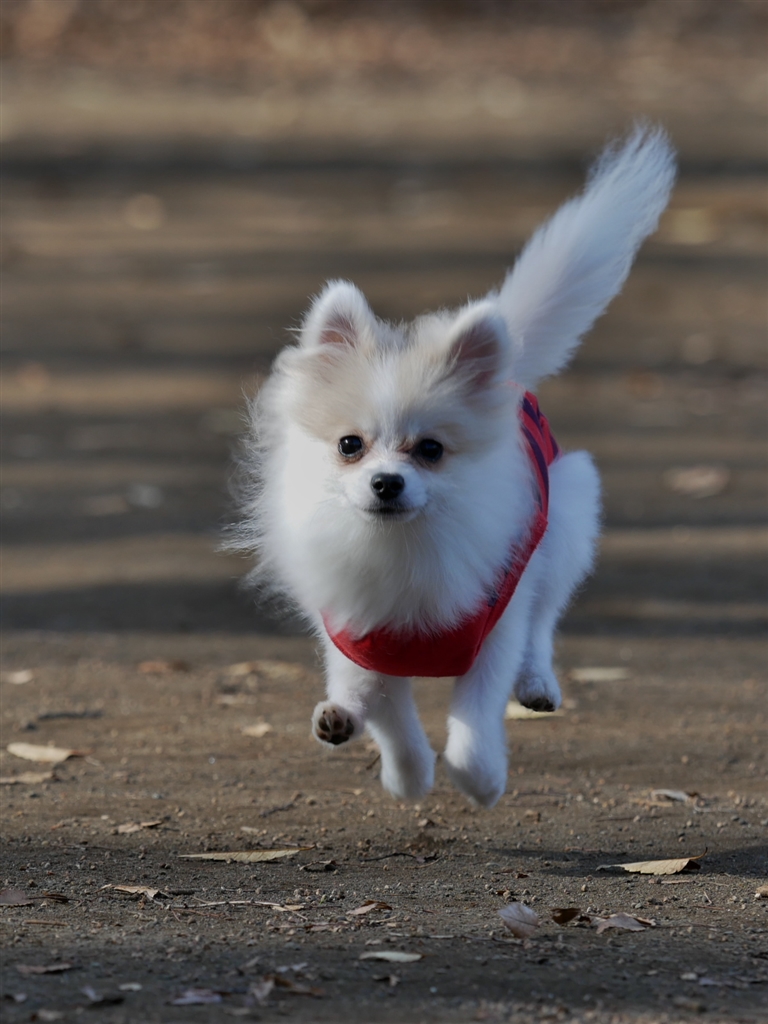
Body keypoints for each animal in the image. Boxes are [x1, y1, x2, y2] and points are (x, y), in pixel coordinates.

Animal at [235, 126, 675, 807]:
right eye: (349, 445)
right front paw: (408, 776)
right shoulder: (361, 635)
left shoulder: (492, 625)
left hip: (566, 519)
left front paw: (482, 779)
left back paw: (537, 685)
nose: (386, 483)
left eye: (431, 450)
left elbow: (477, 711)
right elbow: (389, 713)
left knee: (543, 621)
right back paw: (341, 714)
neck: (404, 547)